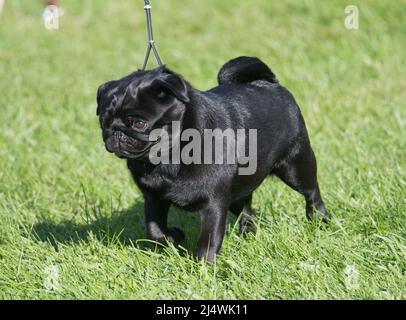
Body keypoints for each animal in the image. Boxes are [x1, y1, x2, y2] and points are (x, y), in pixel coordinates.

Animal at [96, 57, 332, 262]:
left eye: (138, 123)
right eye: (103, 122)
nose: (116, 132)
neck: (169, 157)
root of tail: (269, 83)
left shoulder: (213, 204)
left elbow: (208, 240)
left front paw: (203, 267)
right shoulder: (154, 199)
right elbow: (154, 230)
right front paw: (174, 237)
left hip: (295, 166)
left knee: (312, 192)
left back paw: (320, 219)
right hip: (238, 190)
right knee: (247, 211)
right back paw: (248, 233)